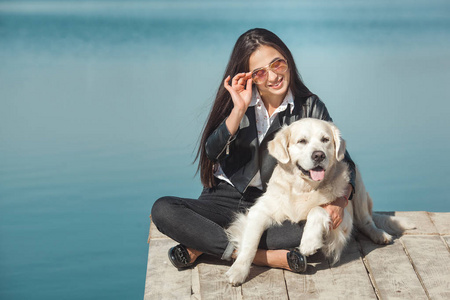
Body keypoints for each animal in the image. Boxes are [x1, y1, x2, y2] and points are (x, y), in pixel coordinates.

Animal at [225, 118, 414, 286]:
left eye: (325, 139)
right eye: (302, 141)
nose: (318, 155)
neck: (303, 189)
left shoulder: (342, 222)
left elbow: (317, 209)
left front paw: (309, 242)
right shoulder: (259, 211)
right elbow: (249, 245)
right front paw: (238, 271)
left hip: (358, 184)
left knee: (366, 222)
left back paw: (379, 235)